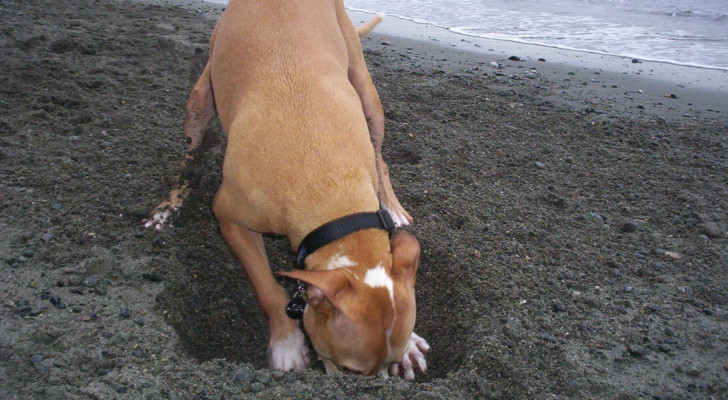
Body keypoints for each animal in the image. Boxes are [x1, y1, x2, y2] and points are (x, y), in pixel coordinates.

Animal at [146, 0, 430, 380]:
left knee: (380, 154)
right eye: (349, 370)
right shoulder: (228, 216)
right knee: (189, 155)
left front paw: (411, 344)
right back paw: (167, 208)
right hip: (200, 97)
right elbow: (267, 288)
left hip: (366, 91)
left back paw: (393, 207)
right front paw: (287, 344)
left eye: (390, 362)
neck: (328, 185)